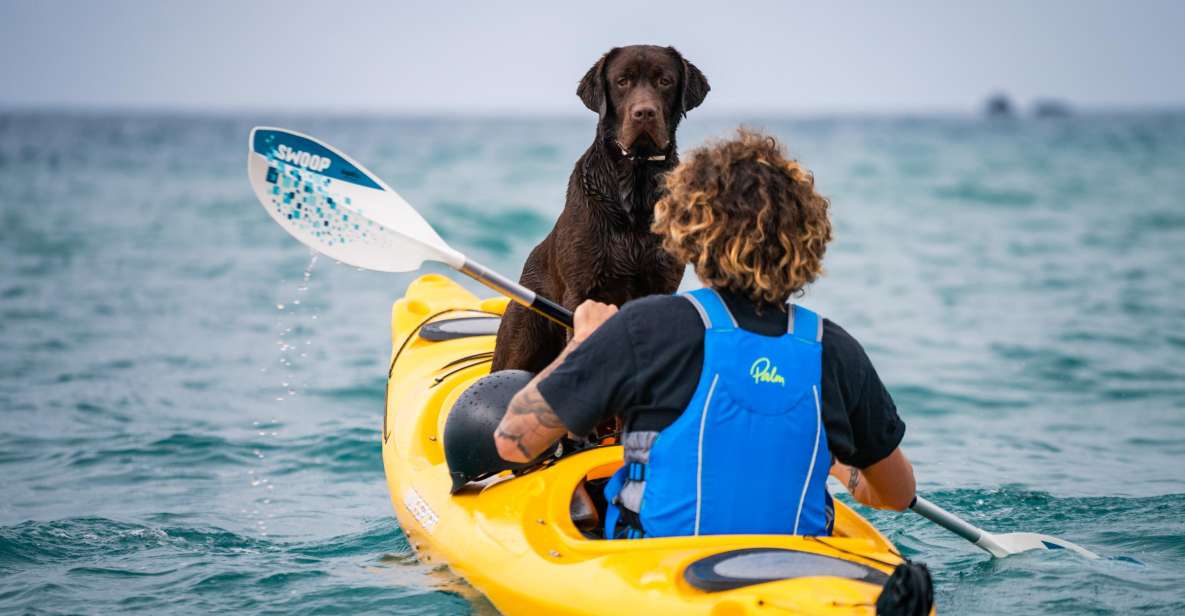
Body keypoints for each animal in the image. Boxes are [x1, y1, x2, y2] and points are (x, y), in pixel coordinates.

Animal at [492, 44, 710, 369]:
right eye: (622, 81)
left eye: (665, 81)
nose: (644, 113)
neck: (635, 186)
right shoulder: (582, 292)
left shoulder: (663, 283)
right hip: (522, 333)